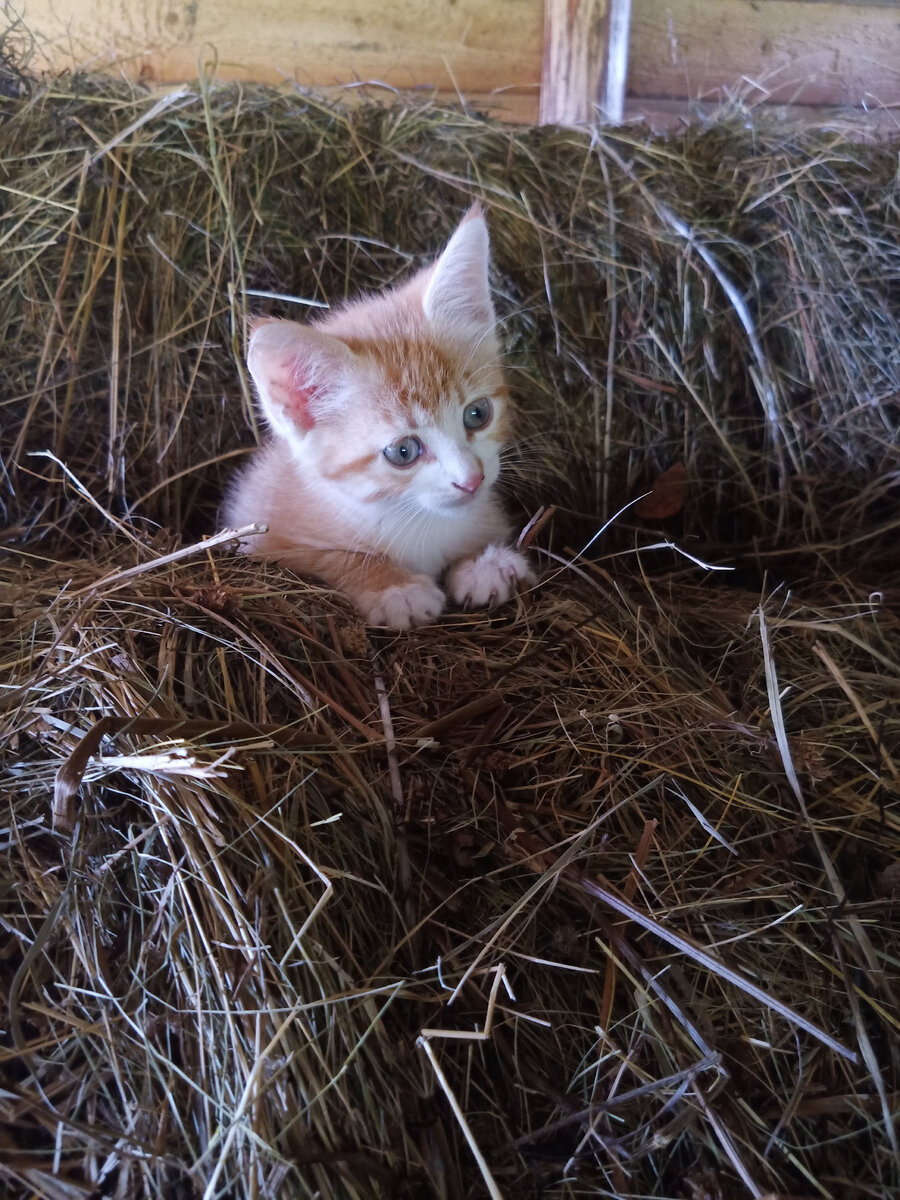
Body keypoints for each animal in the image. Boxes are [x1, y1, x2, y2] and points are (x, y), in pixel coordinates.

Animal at [225, 207, 535, 633]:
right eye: (403, 451)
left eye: (478, 414)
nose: (472, 480)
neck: (415, 520)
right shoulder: (265, 539)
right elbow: (326, 556)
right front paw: (393, 587)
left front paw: (483, 561)